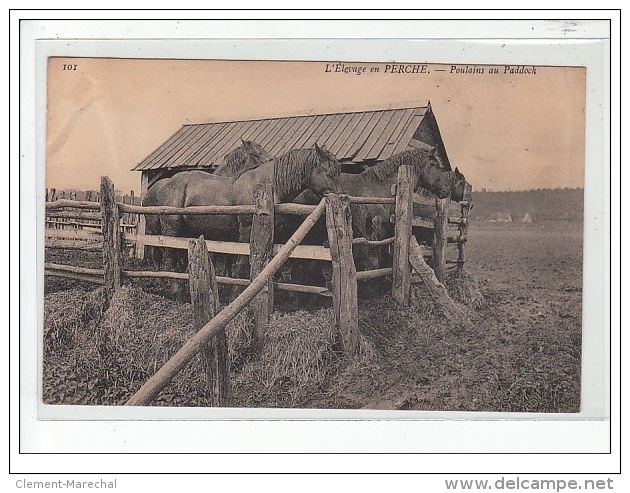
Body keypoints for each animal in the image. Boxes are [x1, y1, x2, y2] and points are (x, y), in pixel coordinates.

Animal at [154, 143, 344, 300]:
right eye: (329, 172)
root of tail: (167, 184)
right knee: (170, 258)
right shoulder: (246, 232)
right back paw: (177, 293)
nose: (343, 195)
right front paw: (236, 296)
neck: (268, 187)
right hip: (172, 230)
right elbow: (242, 266)